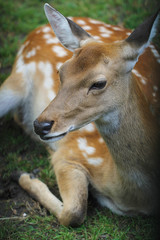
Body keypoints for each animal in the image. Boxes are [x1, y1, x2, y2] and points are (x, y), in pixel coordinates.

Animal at [0, 2, 160, 226]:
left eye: (99, 83)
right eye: (60, 71)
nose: (40, 125)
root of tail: (35, 31)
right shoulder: (71, 151)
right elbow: (73, 213)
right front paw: (24, 175)